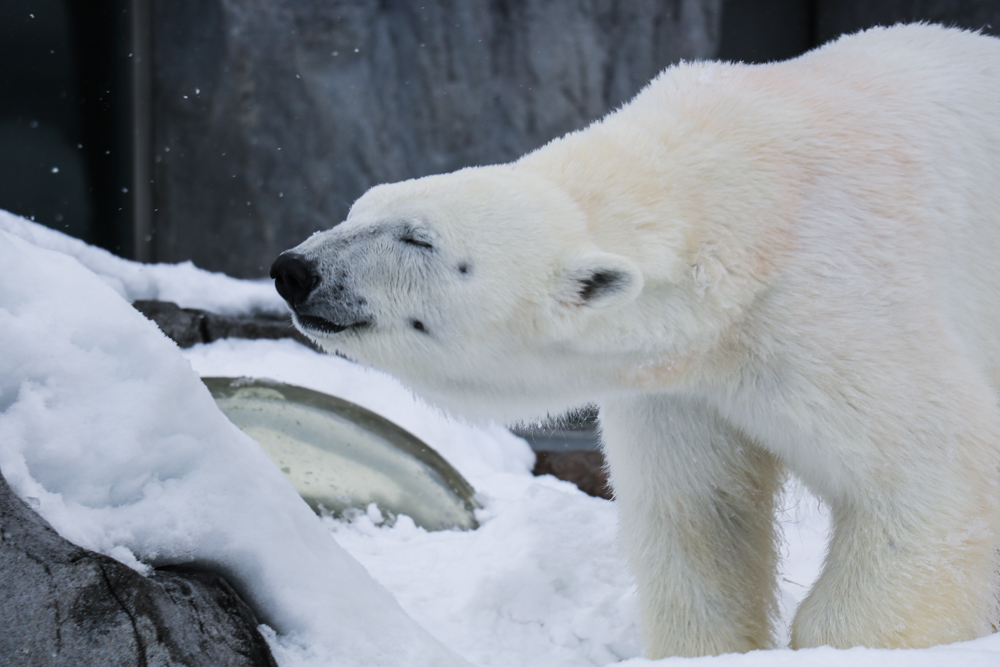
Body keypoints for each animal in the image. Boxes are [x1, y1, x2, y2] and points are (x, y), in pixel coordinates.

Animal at [270, 24, 1000, 656]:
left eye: (419, 239)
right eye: (358, 210)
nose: (295, 271)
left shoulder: (828, 305)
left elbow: (936, 472)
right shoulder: (681, 386)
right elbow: (701, 517)